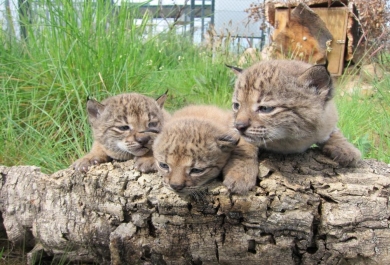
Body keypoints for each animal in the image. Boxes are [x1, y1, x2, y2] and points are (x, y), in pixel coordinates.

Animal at [229, 59, 362, 165]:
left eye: (265, 109)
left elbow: (334, 131)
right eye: (236, 106)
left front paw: (347, 149)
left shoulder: (327, 119)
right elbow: (245, 145)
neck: (292, 138)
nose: (238, 126)